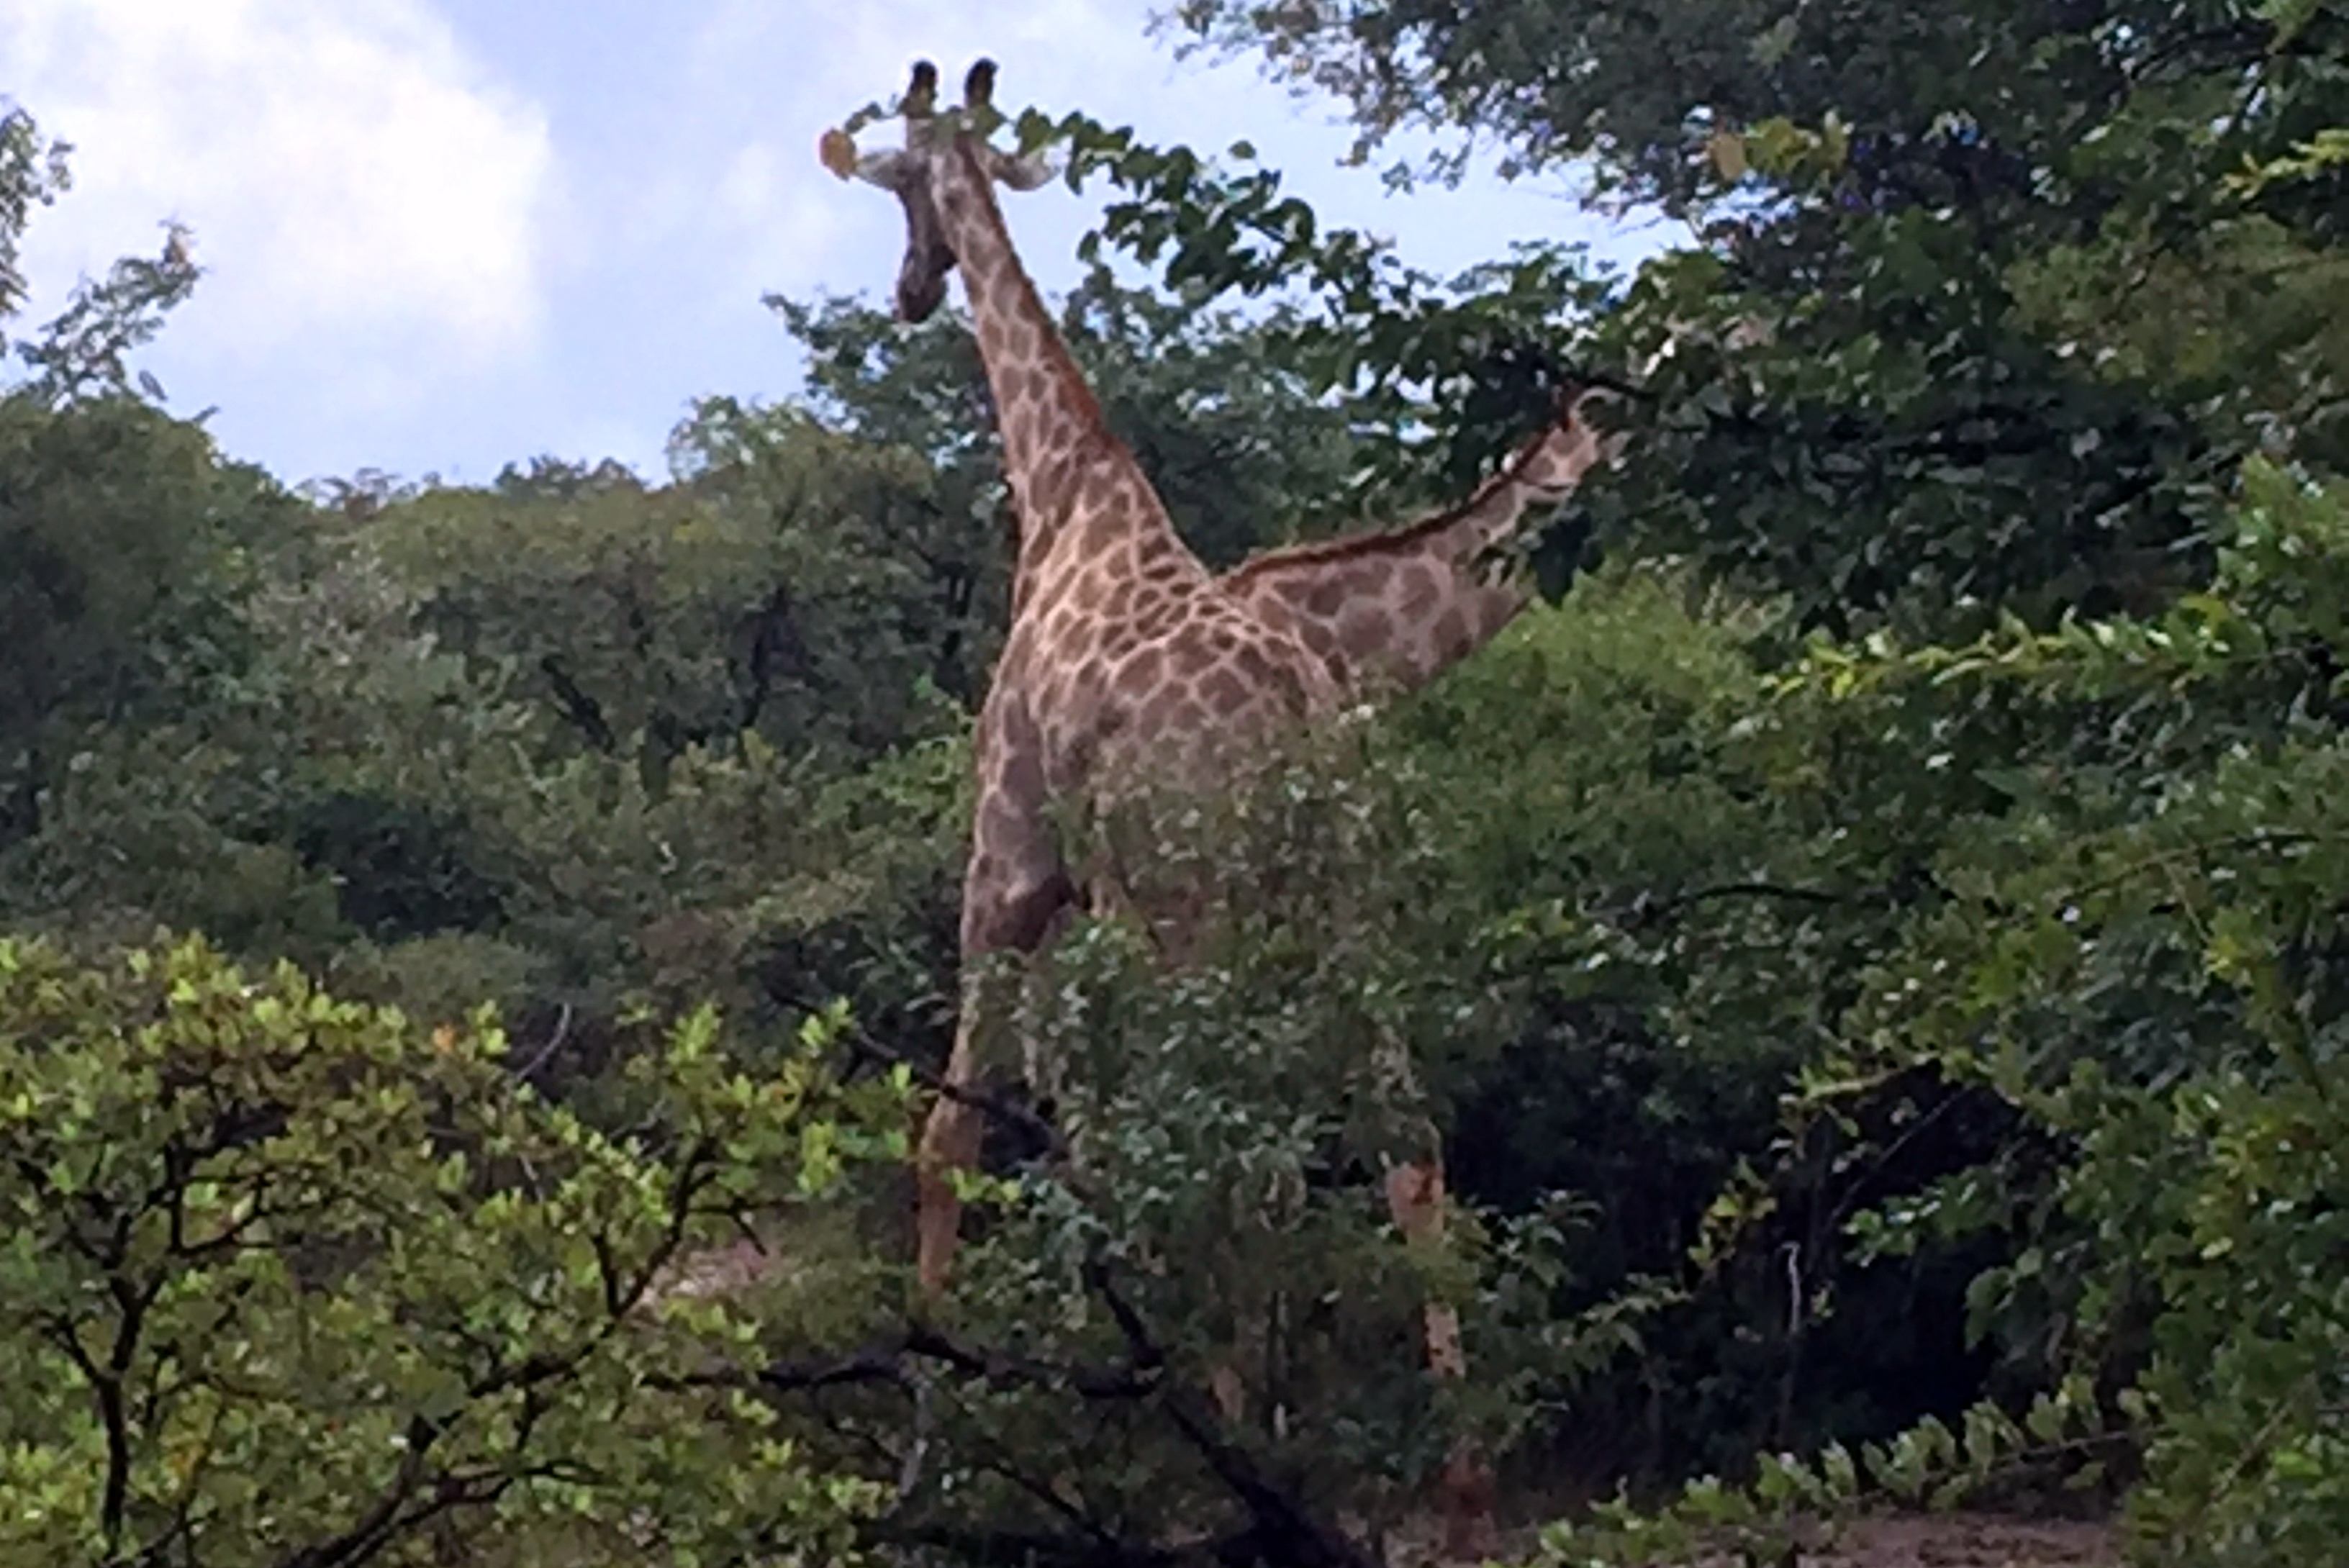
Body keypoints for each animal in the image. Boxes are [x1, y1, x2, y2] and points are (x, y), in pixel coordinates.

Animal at [822, 61, 1616, 1558]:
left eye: (897, 183)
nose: (905, 289)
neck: (1061, 494)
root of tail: (1299, 716)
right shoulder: (1099, 904)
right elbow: (1092, 1139)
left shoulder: (1008, 862)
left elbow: (959, 1131)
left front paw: (936, 1425)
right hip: (1340, 896)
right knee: (1394, 1138)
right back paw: (1438, 1474)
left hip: (1198, 910)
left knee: (1231, 1147)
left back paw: (1239, 1455)